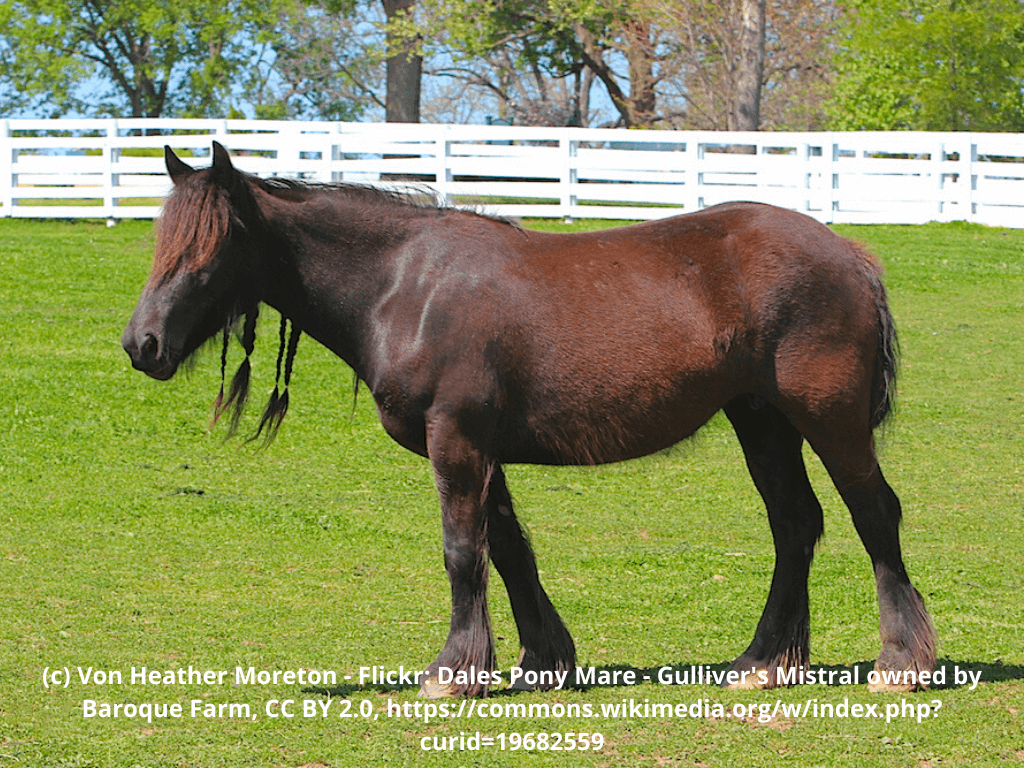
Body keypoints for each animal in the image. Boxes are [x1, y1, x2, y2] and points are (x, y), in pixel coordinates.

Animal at [122, 142, 936, 698]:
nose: (143, 344)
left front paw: (454, 671)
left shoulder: (455, 443)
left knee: (874, 516)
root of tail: (849, 254)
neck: (404, 286)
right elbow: (511, 551)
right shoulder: (482, 451)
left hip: (828, 421)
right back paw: (764, 661)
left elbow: (464, 552)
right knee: (795, 524)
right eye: (162, 244)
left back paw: (901, 660)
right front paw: (543, 658)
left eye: (208, 250)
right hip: (762, 421)